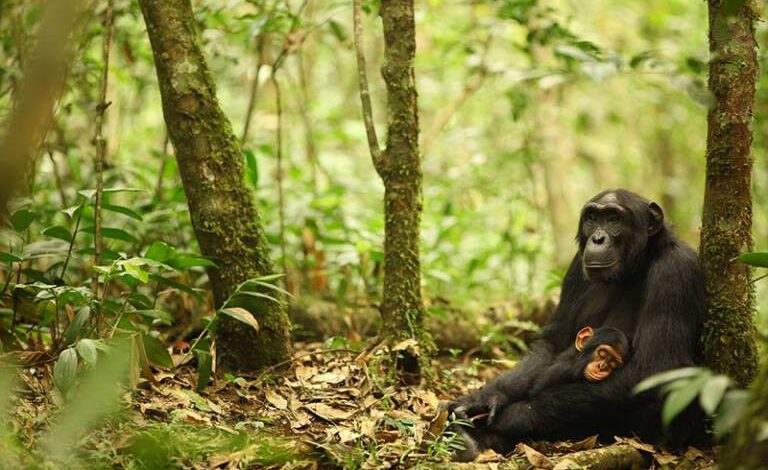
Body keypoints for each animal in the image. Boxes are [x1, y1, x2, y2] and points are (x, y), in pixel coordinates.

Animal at [450, 189, 708, 460]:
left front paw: (513, 416)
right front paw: (486, 398)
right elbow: (554, 342)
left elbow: (654, 367)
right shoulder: (575, 266)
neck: (637, 264)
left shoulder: (676, 271)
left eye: (614, 219)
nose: (598, 238)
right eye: (592, 218)